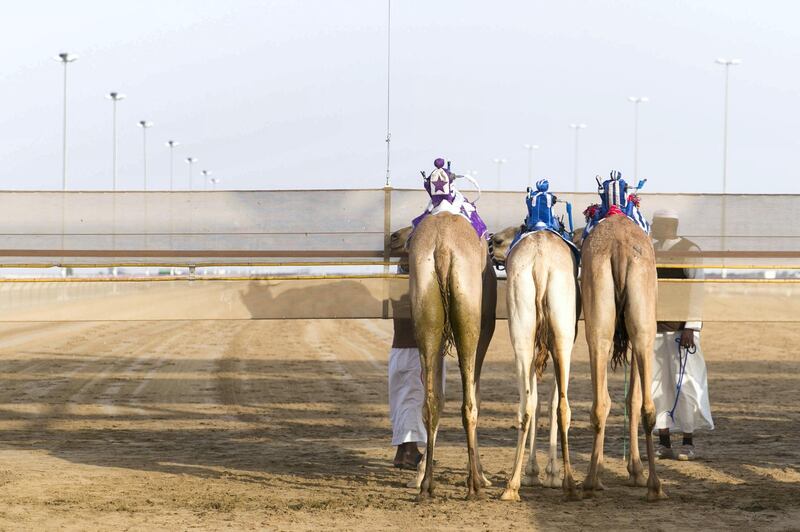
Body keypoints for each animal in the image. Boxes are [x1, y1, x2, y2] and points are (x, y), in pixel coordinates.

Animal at [410, 214, 496, 500]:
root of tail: (443, 249)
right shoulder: (486, 329)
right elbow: (476, 395)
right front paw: (481, 476)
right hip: (469, 322)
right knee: (469, 404)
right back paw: (475, 486)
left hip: (426, 318)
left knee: (430, 403)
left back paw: (426, 486)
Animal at [488, 227, 580, 500]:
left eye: (500, 241)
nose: (491, 240)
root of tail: (540, 262)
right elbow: (547, 402)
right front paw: (546, 474)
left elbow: (541, 402)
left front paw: (538, 473)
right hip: (561, 336)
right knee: (554, 405)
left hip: (525, 334)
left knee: (531, 405)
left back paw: (515, 485)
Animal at [580, 214, 668, 500]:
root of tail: (618, 247)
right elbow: (633, 399)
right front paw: (635, 471)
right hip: (642, 330)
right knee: (644, 406)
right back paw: (651, 485)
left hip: (603, 327)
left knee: (603, 404)